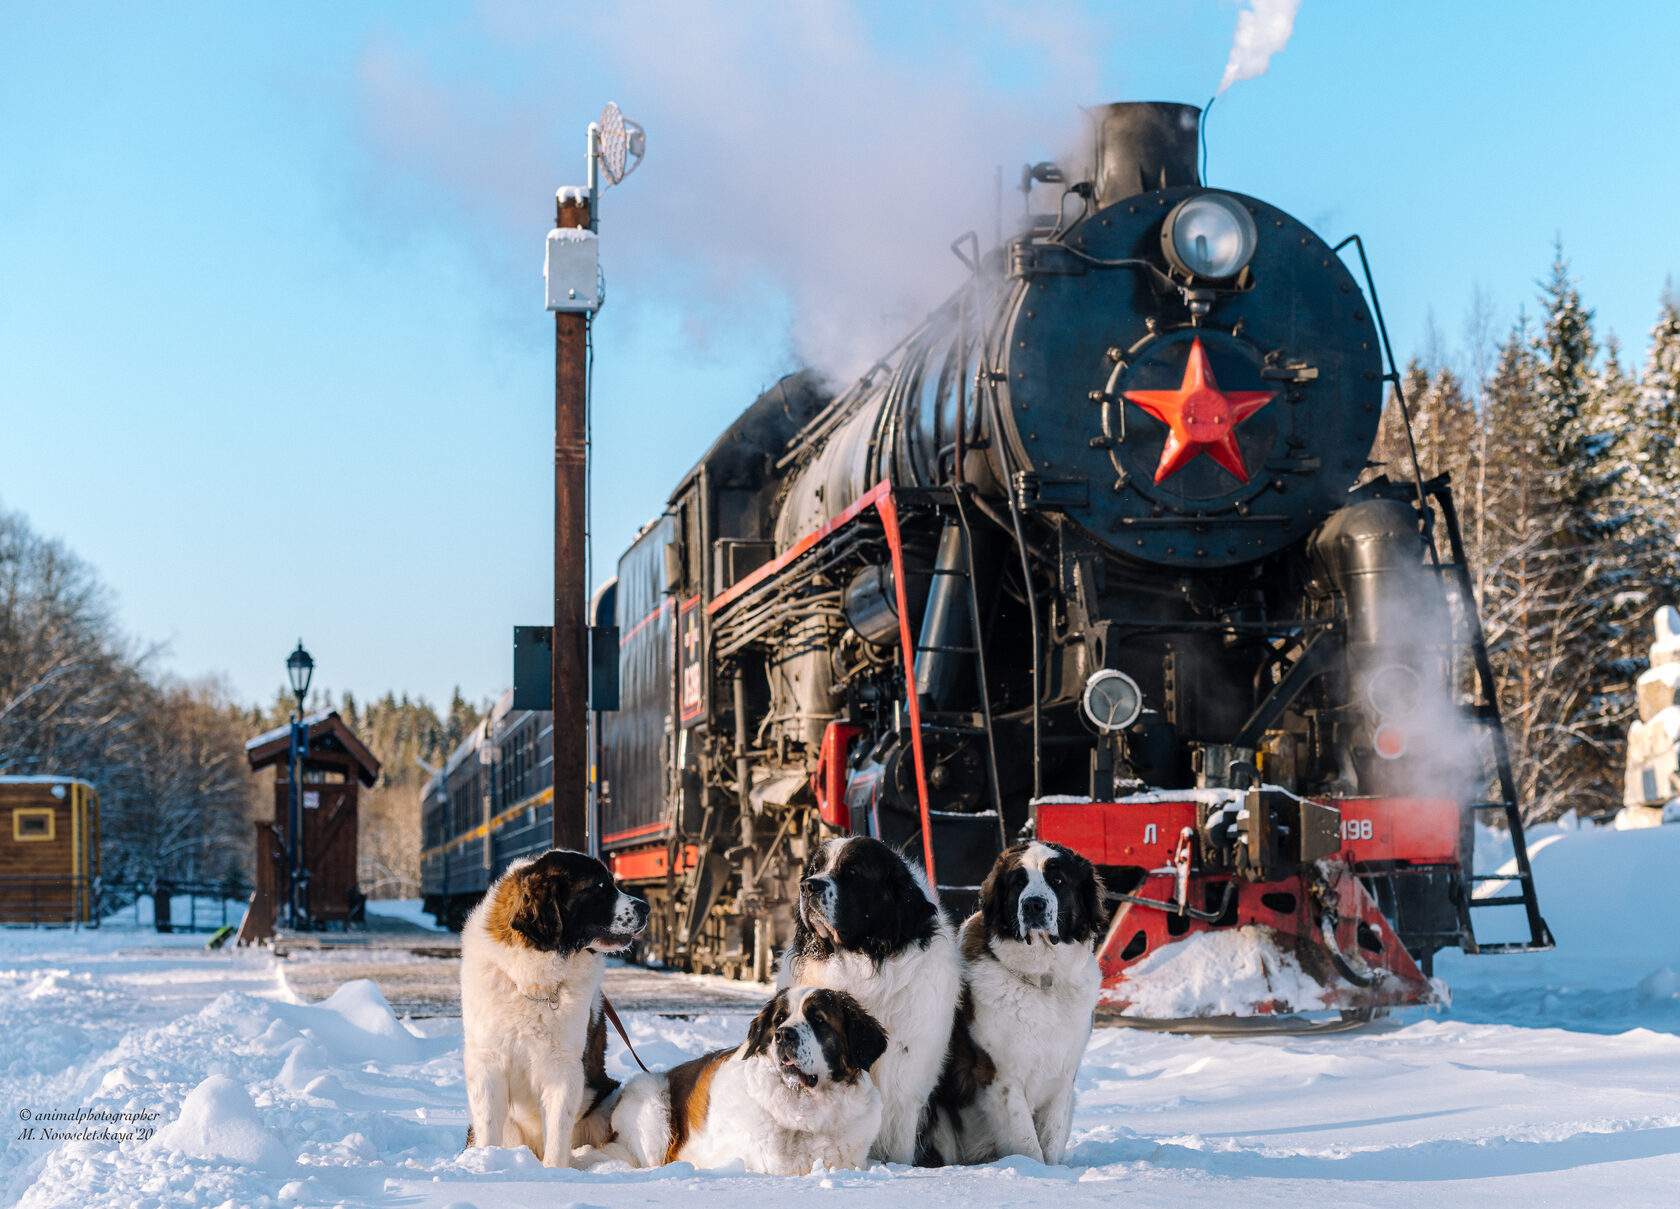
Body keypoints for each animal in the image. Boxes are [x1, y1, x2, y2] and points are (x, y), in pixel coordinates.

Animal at [460, 846, 648, 1168]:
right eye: (599, 886)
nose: (646, 907)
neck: (533, 984)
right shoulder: (487, 1061)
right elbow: (488, 1124)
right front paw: (487, 1163)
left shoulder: (562, 1067)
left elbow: (559, 1130)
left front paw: (553, 1173)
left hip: (607, 1096)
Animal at [920, 836, 1102, 1168]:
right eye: (1019, 883)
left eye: (1057, 880)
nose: (1033, 904)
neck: (1042, 980)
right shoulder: (1002, 1078)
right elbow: (1028, 1143)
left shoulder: (1062, 1079)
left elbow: (1051, 1138)